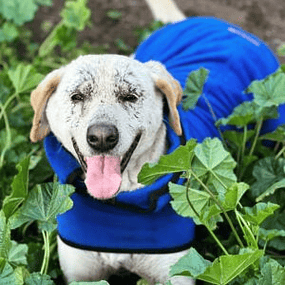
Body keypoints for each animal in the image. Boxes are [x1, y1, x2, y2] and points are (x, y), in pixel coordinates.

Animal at [29, 0, 280, 284]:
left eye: (130, 96)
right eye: (77, 96)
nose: (102, 137)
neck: (120, 202)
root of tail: (219, 24)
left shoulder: (178, 272)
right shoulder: (81, 275)